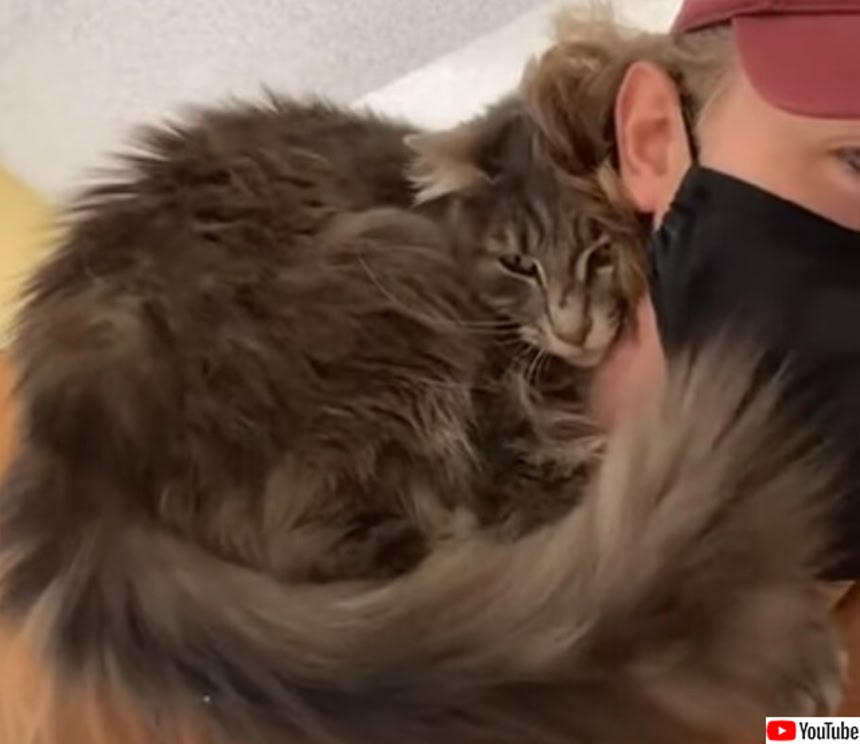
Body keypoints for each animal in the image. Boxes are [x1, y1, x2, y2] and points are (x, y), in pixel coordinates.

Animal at [0, 88, 842, 744]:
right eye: (518, 265)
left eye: (598, 253)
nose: (572, 327)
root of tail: (75, 461)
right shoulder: (511, 428)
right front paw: (801, 647)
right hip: (385, 284)